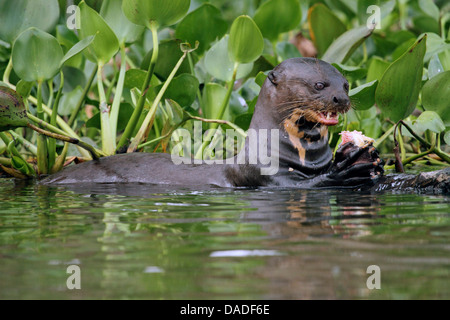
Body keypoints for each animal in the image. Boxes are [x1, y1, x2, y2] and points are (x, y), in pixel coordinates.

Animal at [39, 58, 386, 188]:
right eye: (319, 86)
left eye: (346, 85)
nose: (341, 99)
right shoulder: (265, 177)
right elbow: (309, 184)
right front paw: (345, 169)